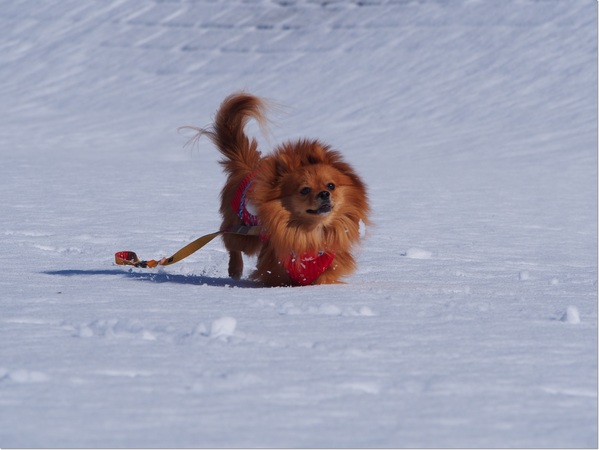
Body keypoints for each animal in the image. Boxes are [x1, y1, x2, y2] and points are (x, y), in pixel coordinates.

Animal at [195, 92, 368, 286]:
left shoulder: (329, 264)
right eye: (305, 190)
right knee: (230, 241)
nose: (324, 194)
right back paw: (235, 269)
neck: (310, 232)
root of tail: (249, 168)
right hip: (244, 233)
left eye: (331, 185)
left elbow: (323, 278)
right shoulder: (274, 265)